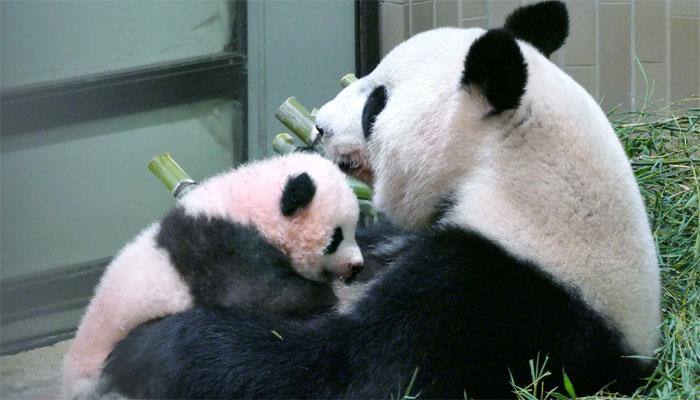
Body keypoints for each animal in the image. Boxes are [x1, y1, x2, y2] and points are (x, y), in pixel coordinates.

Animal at [64, 152, 366, 398]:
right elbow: (258, 295)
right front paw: (327, 296)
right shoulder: (219, 248)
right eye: (336, 238)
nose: (356, 265)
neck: (248, 204)